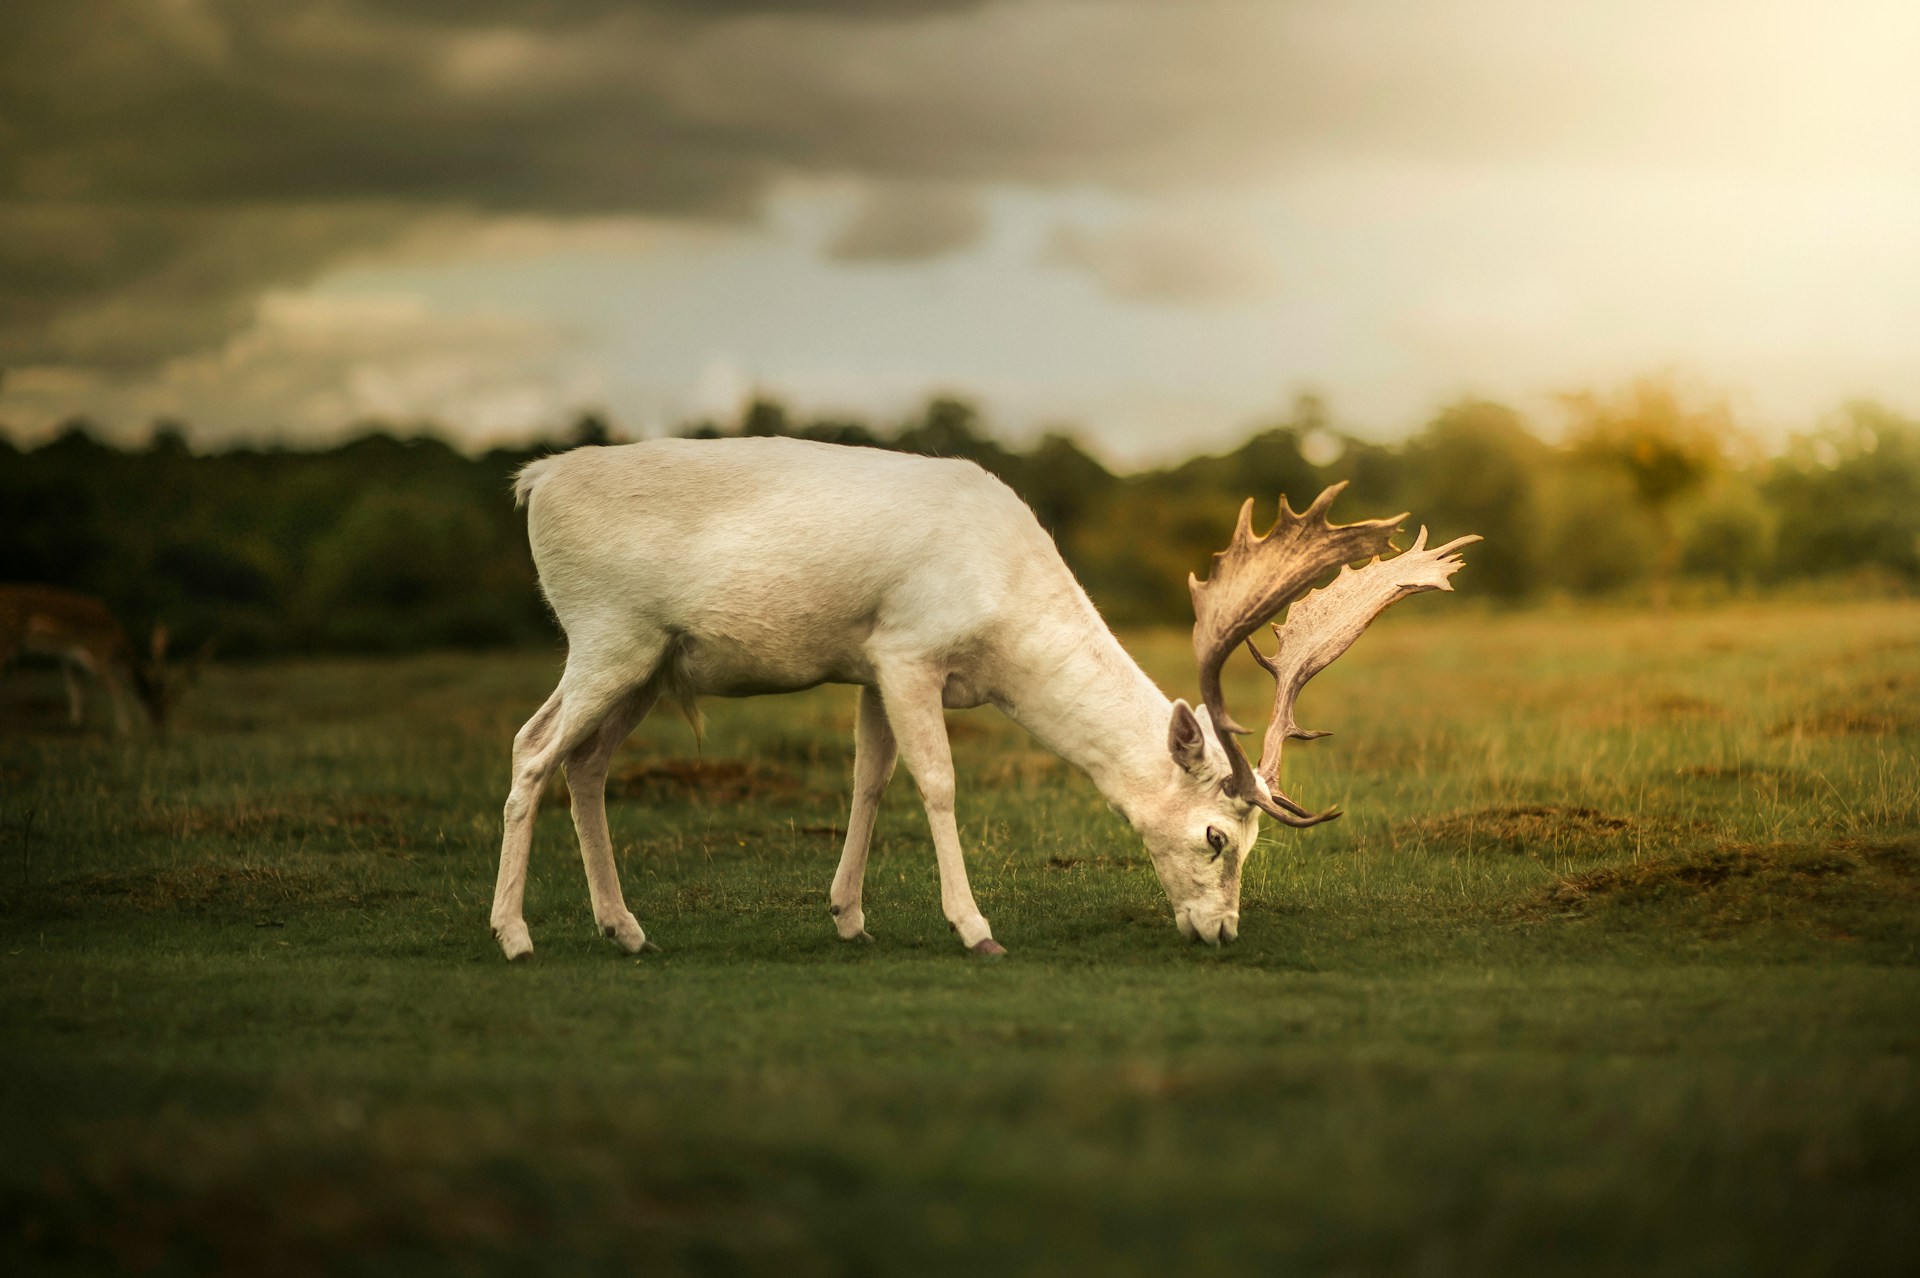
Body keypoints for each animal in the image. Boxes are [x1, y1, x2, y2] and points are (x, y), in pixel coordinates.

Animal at [487, 437, 1474, 955]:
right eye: (1216, 837)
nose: (1221, 932)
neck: (1004, 627)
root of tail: (534, 482)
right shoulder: (909, 650)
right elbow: (936, 783)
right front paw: (974, 928)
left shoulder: (873, 665)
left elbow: (868, 781)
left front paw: (848, 918)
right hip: (606, 633)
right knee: (532, 749)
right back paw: (515, 934)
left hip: (650, 664)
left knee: (583, 765)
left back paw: (626, 928)